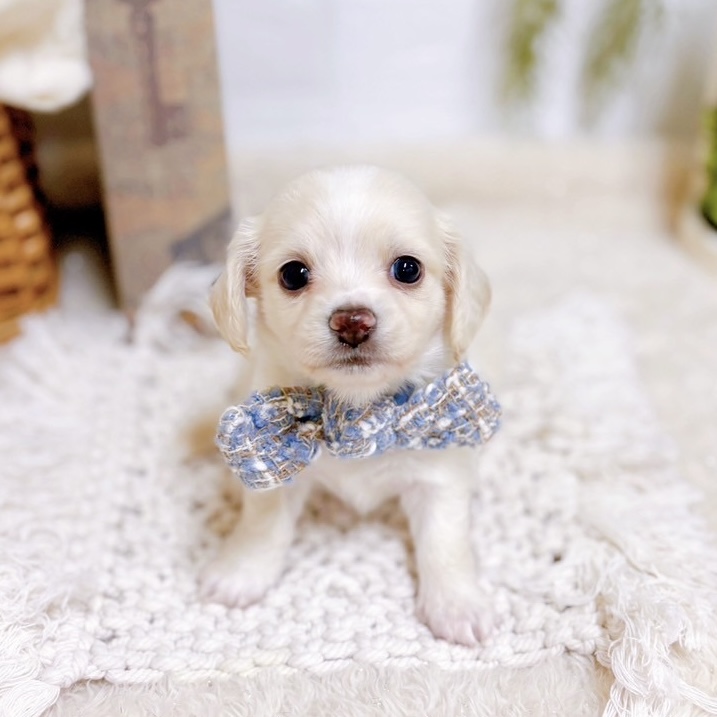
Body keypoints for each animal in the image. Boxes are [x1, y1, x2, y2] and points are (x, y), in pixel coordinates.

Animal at [201, 165, 494, 645]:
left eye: (408, 269)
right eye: (293, 274)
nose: (353, 322)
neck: (356, 413)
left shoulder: (439, 477)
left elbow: (444, 544)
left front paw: (456, 605)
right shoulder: (277, 469)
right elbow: (263, 524)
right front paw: (241, 572)